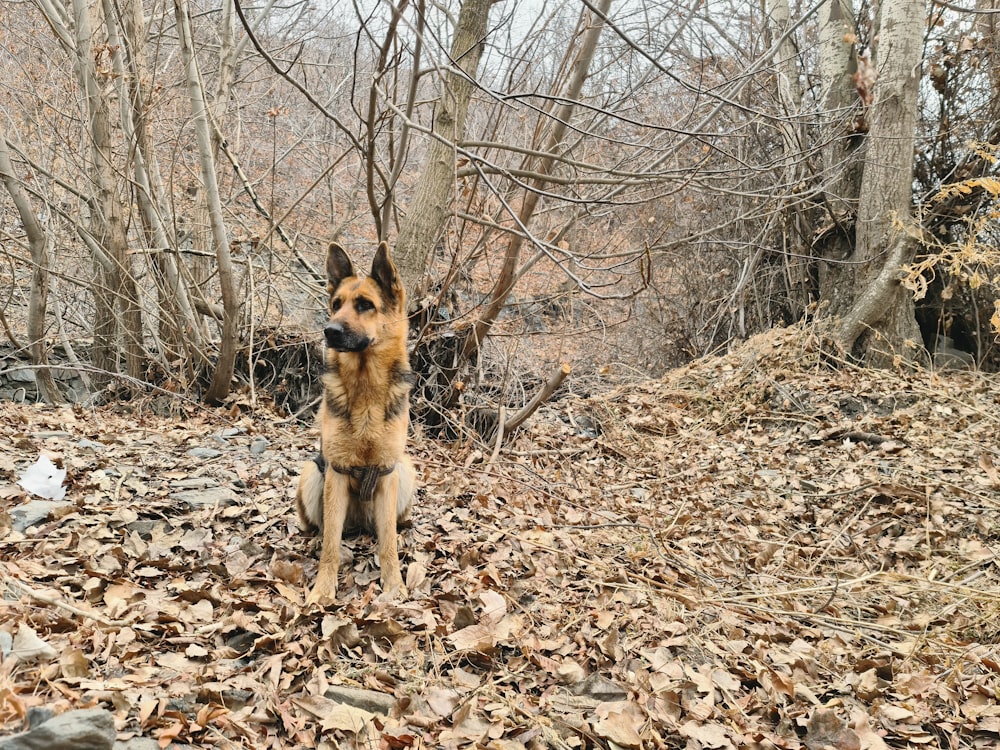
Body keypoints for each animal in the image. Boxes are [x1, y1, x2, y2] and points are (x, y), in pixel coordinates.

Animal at [296, 244, 414, 608]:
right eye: (337, 304)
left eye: (365, 305)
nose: (330, 331)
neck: (365, 389)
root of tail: (360, 523)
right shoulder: (336, 471)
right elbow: (331, 546)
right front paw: (323, 589)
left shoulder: (387, 471)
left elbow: (387, 543)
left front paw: (394, 586)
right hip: (311, 472)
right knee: (320, 529)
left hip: (406, 469)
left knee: (389, 527)